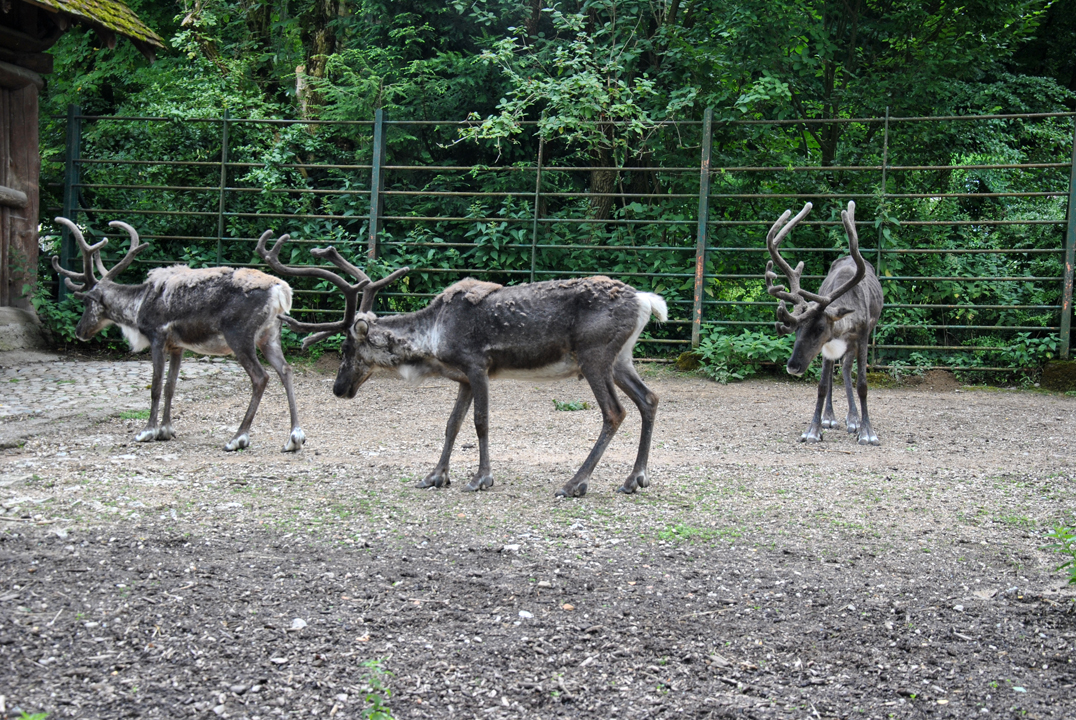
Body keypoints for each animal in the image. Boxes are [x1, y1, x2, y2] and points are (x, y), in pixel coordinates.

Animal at [50, 217, 305, 453]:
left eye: (86, 302)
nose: (79, 331)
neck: (138, 305)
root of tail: (281, 291)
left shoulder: (157, 338)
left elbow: (155, 386)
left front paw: (147, 431)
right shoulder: (177, 346)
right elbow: (170, 386)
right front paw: (165, 429)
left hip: (240, 337)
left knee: (261, 377)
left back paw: (238, 438)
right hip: (269, 337)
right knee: (286, 370)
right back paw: (294, 438)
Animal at [256, 231, 668, 497]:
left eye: (345, 347)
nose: (338, 389)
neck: (432, 340)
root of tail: (646, 301)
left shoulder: (477, 367)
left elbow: (480, 423)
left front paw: (481, 478)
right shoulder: (463, 380)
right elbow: (452, 424)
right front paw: (435, 475)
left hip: (594, 357)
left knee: (614, 412)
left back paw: (574, 483)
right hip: (621, 359)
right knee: (649, 399)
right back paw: (635, 479)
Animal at [764, 201, 884, 445]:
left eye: (819, 328)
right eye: (797, 329)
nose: (793, 366)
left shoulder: (863, 336)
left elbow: (863, 384)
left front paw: (867, 431)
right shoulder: (828, 345)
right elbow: (822, 385)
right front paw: (814, 429)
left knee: (846, 368)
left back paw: (854, 419)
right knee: (835, 372)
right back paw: (832, 417)